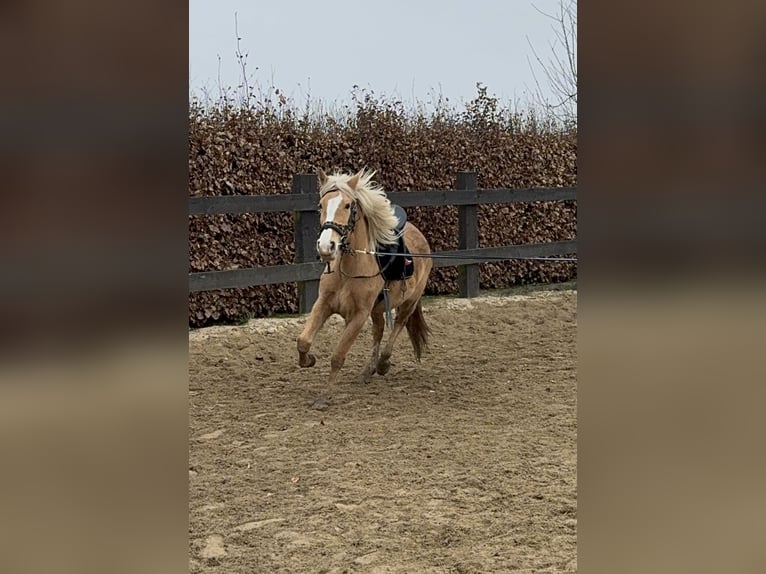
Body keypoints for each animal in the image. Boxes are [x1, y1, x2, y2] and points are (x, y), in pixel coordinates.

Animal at [298, 169, 436, 384]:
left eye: (347, 205)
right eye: (321, 205)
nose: (326, 246)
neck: (348, 272)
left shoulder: (359, 315)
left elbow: (337, 357)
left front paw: (327, 391)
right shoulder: (323, 303)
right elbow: (303, 341)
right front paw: (309, 360)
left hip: (409, 302)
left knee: (398, 324)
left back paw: (383, 363)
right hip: (378, 308)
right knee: (379, 330)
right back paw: (369, 370)